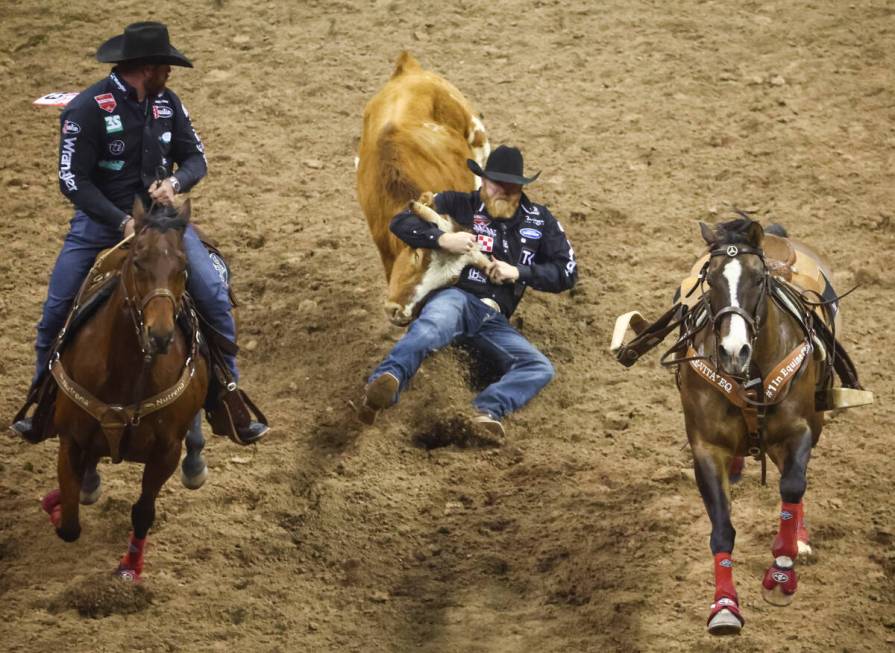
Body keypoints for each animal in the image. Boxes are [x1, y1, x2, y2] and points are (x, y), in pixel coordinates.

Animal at [43, 200, 210, 580]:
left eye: (183, 267)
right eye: (138, 262)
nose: (160, 335)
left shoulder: (166, 452)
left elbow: (144, 512)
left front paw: (129, 567)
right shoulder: (70, 439)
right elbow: (70, 524)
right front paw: (56, 504)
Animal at [680, 218, 832, 632]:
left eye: (758, 278)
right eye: (710, 278)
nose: (734, 351)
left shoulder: (799, 431)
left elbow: (793, 487)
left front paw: (781, 574)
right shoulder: (706, 449)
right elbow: (721, 529)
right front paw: (725, 606)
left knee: (794, 484)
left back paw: (801, 538)